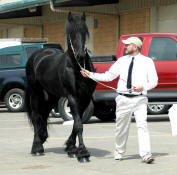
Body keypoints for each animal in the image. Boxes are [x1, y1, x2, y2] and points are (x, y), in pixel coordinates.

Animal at [24, 11, 97, 163]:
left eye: (84, 32)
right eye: (71, 33)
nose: (80, 56)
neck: (76, 68)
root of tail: (37, 56)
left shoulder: (85, 98)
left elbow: (76, 123)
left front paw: (71, 148)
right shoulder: (72, 97)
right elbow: (78, 124)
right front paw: (83, 153)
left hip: (52, 95)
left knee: (44, 113)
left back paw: (42, 137)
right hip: (36, 92)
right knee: (36, 116)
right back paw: (37, 147)